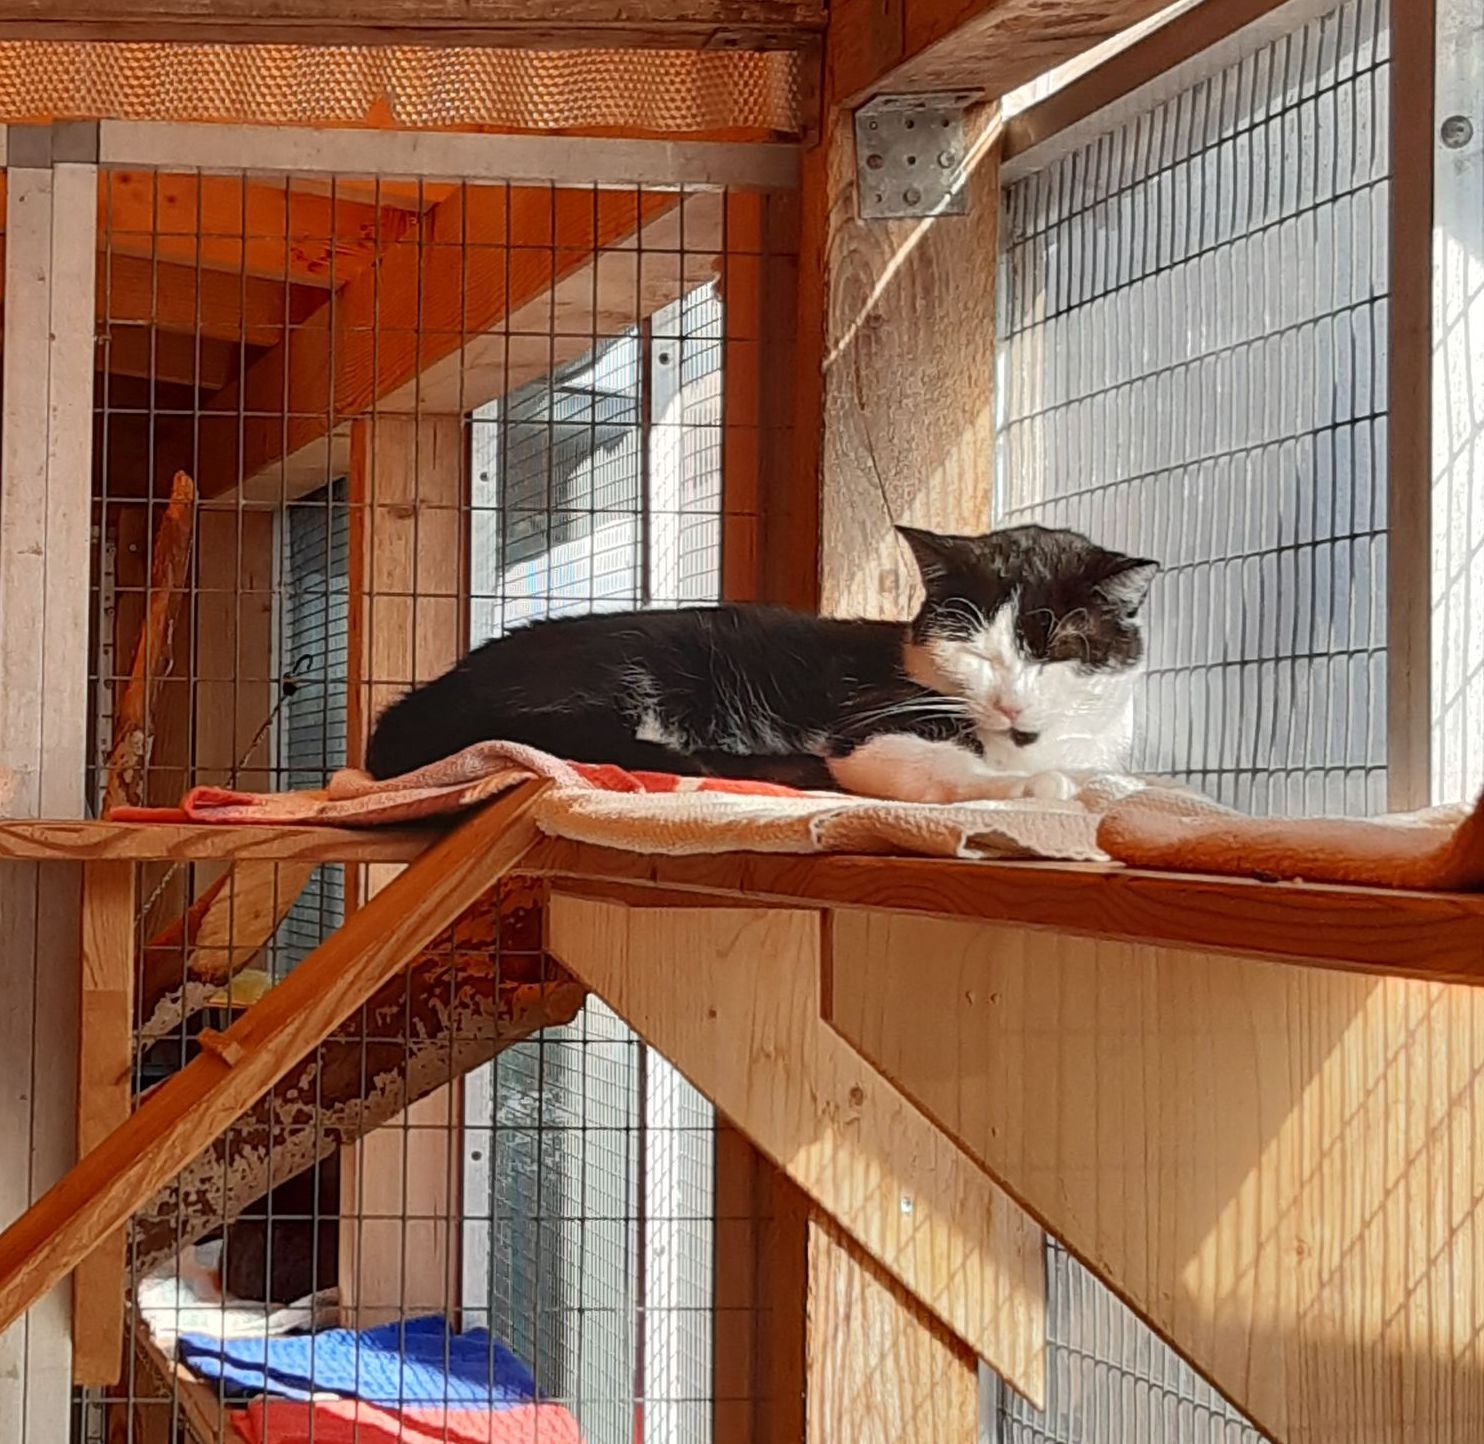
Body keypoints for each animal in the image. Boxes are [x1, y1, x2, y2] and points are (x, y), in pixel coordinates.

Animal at [364, 523, 1159, 804]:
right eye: (973, 649)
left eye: (1052, 654)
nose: (1009, 702)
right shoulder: (873, 730)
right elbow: (942, 770)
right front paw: (1031, 789)